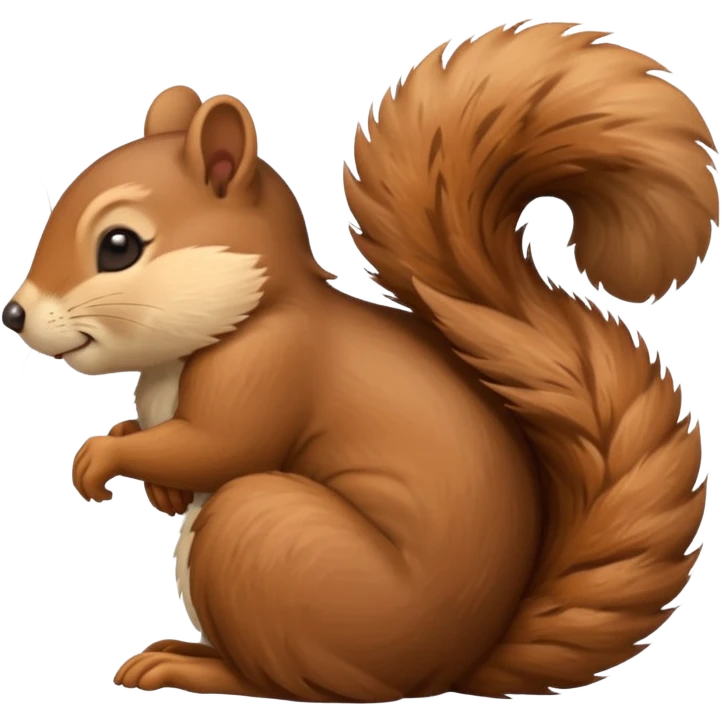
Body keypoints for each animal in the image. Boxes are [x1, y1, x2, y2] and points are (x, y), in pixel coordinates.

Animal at [6, 21, 716, 702]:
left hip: (265, 538)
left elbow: (221, 445)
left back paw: (192, 667)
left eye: (119, 245)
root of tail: (449, 667)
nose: (14, 315)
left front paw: (102, 458)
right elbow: (173, 447)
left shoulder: (273, 364)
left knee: (290, 681)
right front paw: (152, 476)